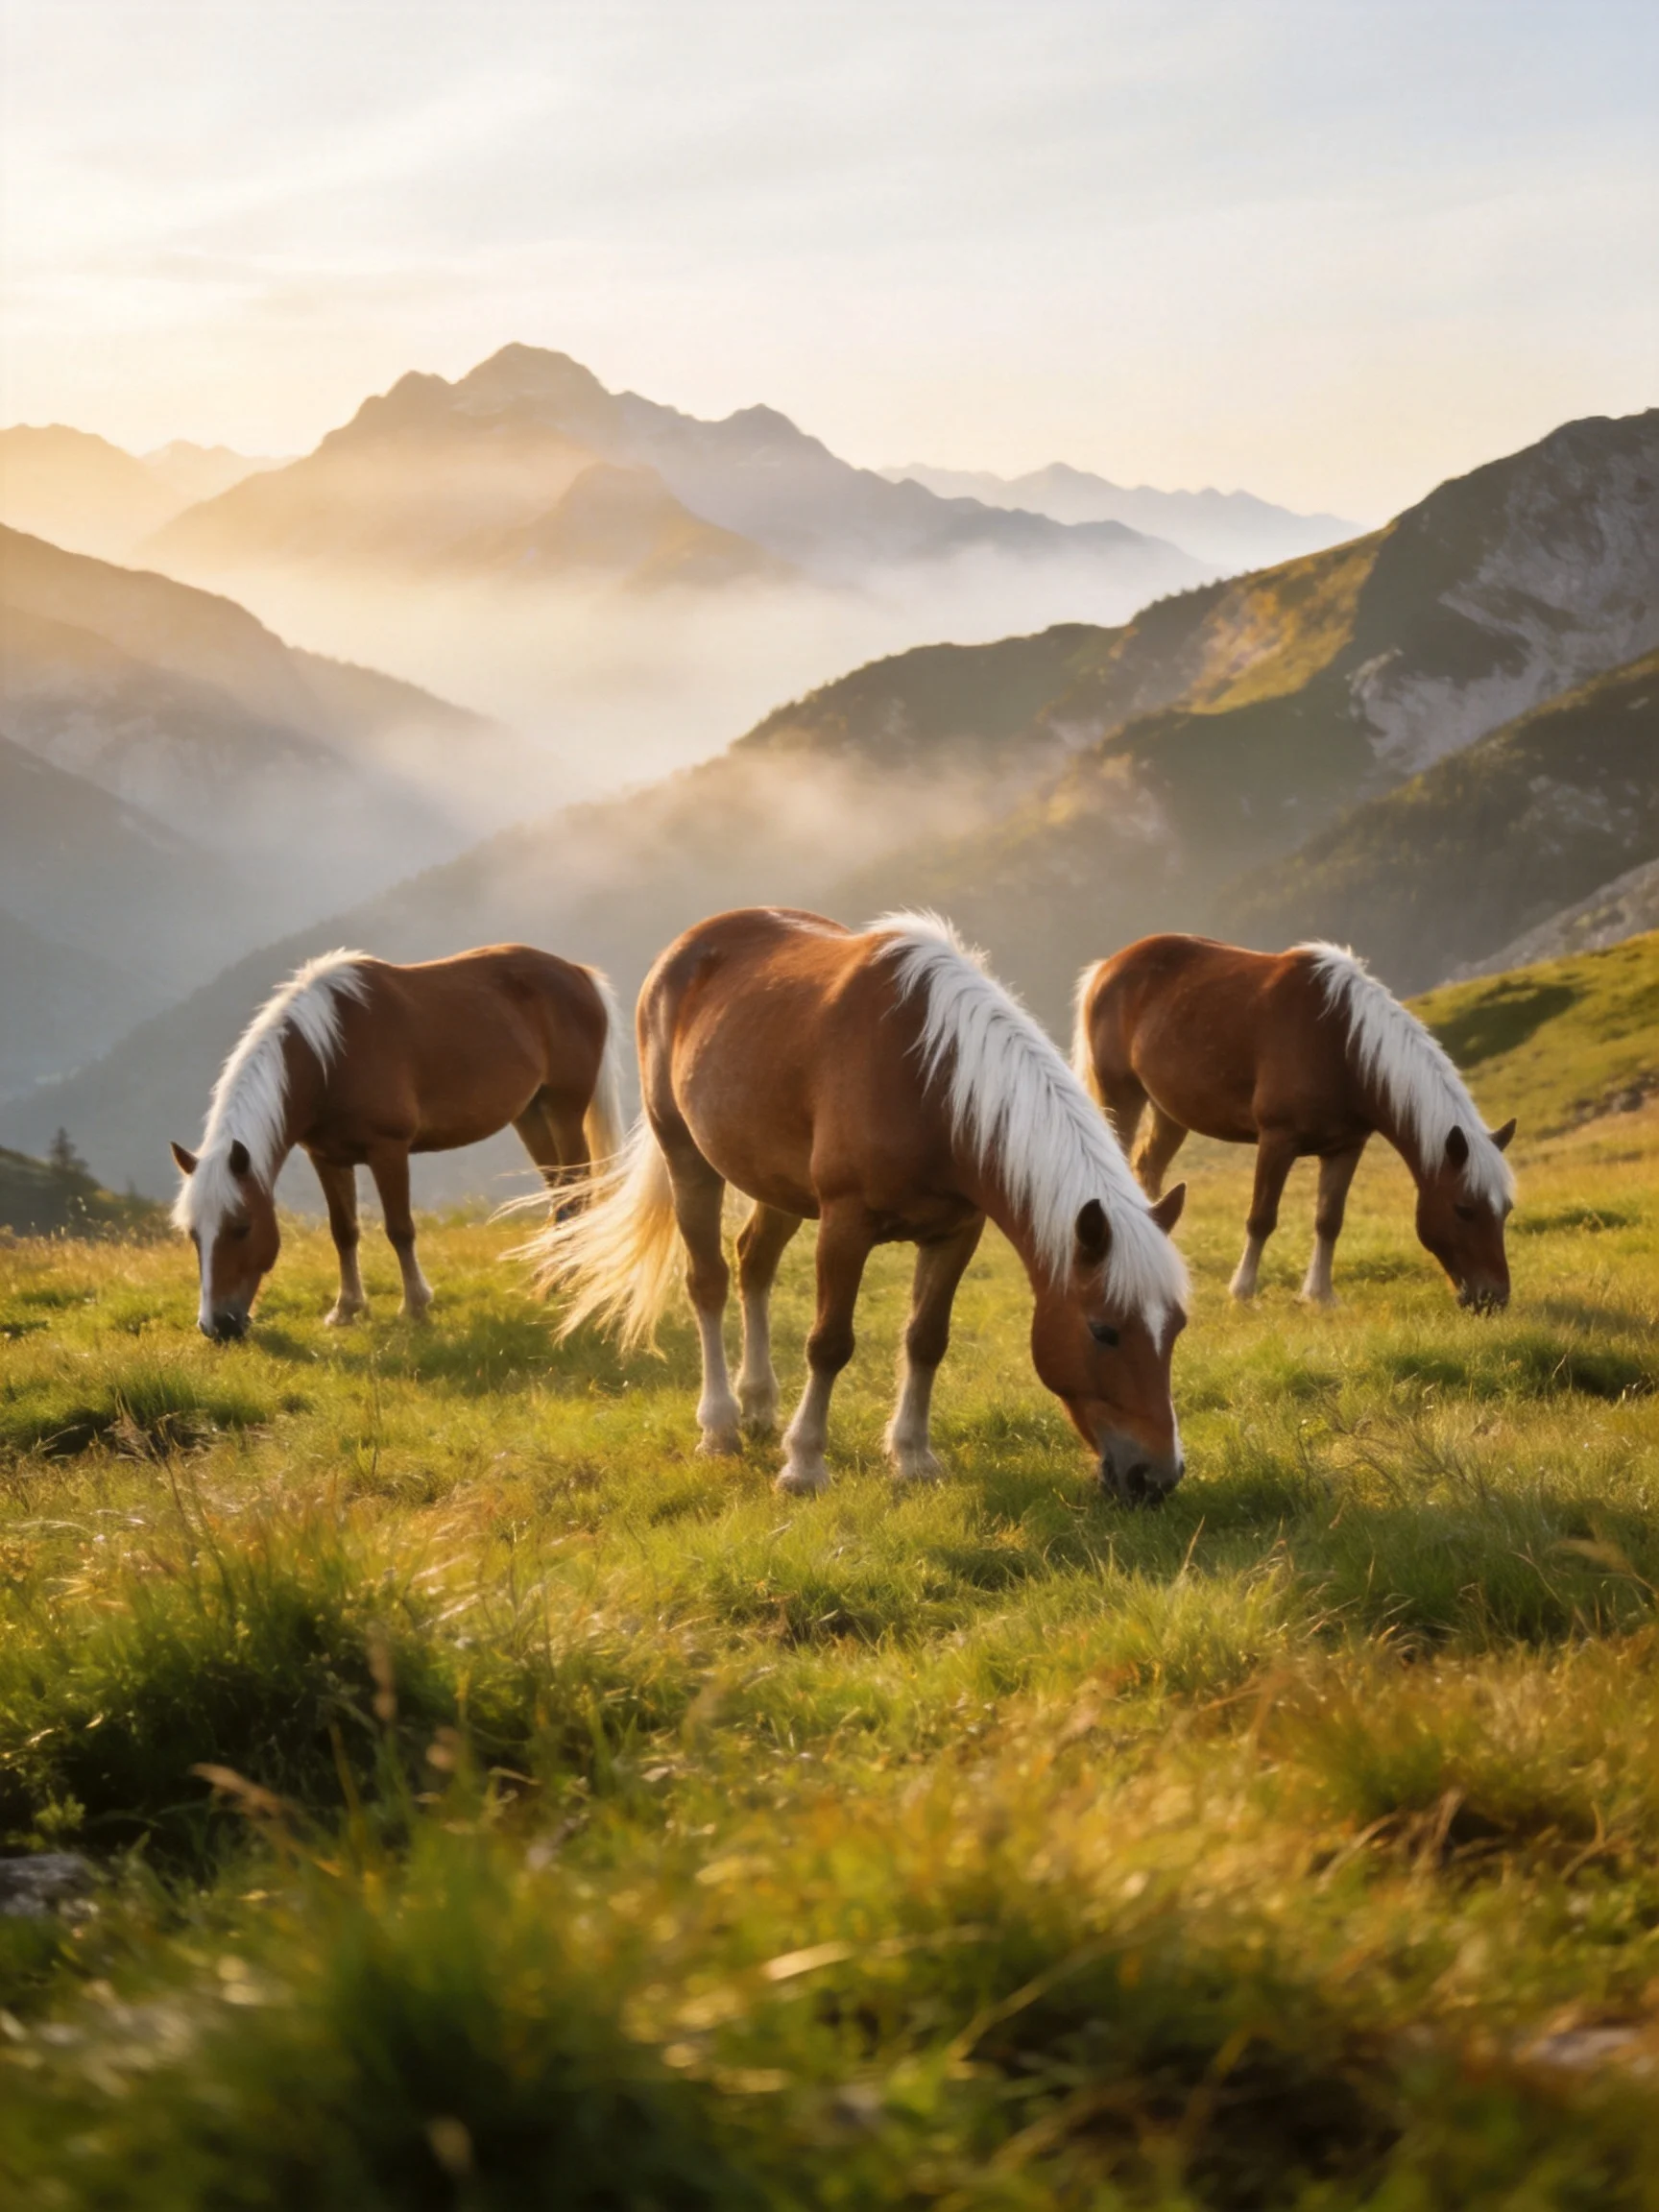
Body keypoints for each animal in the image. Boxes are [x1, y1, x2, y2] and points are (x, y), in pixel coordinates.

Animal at [172, 945, 622, 1342]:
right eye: (194, 1234)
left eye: (241, 1227)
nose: (216, 1326)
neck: (329, 1055)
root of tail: (579, 973)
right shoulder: (327, 1158)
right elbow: (344, 1231)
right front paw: (346, 1309)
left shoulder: (388, 1150)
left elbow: (400, 1230)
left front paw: (416, 1306)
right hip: (530, 1114)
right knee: (559, 1193)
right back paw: (551, 1278)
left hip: (563, 1109)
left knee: (577, 1192)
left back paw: (567, 1280)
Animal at [529, 908, 1189, 1503]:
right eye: (1104, 1331)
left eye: (1177, 1326)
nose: (1157, 1477)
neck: (933, 1082)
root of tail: (687, 947)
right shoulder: (845, 1225)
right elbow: (829, 1343)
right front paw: (804, 1466)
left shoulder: (957, 1232)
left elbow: (926, 1339)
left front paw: (914, 1457)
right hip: (688, 1158)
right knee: (708, 1282)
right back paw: (720, 1426)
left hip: (778, 1184)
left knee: (754, 1264)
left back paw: (759, 1404)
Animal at [1072, 934, 1517, 1310]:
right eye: (1464, 1209)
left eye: (1506, 1209)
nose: (1493, 1298)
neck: (1342, 1043)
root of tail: (1107, 967)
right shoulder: (1277, 1140)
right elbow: (1262, 1218)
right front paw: (1242, 1290)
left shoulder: (1345, 1148)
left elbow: (1329, 1221)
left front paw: (1320, 1295)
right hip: (1121, 1096)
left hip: (1170, 1112)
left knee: (1148, 1166)